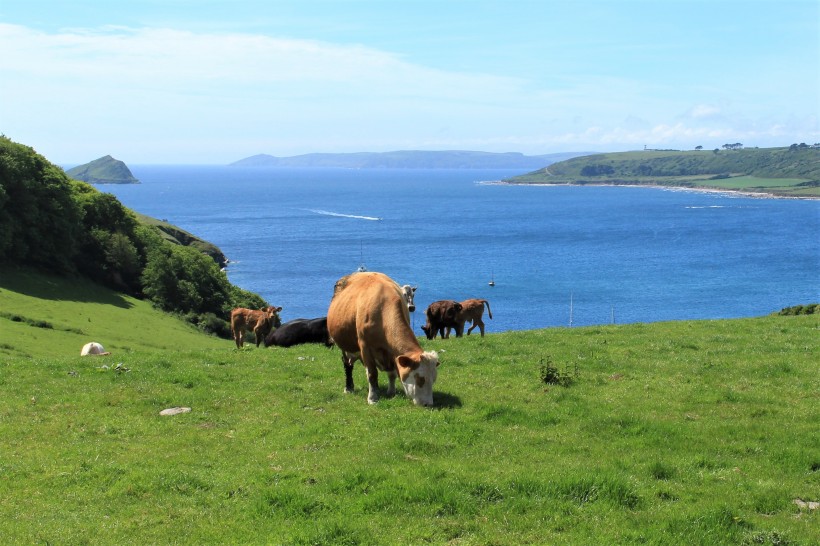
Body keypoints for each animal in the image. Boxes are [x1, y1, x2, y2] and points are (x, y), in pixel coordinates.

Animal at [328, 272, 438, 404]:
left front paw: (391, 392)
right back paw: (349, 387)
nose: (428, 404)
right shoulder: (365, 348)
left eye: (434, 379)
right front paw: (372, 398)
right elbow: (372, 374)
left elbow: (392, 374)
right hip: (346, 346)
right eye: (420, 378)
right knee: (347, 364)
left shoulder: (391, 352)